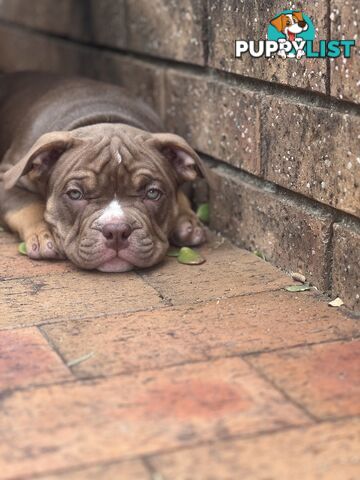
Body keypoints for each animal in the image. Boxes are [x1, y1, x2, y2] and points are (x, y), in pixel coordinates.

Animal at [0, 72, 210, 272]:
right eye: (75, 194)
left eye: (152, 193)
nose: (116, 231)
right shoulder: (6, 178)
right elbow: (26, 204)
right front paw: (45, 233)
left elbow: (180, 194)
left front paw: (185, 219)